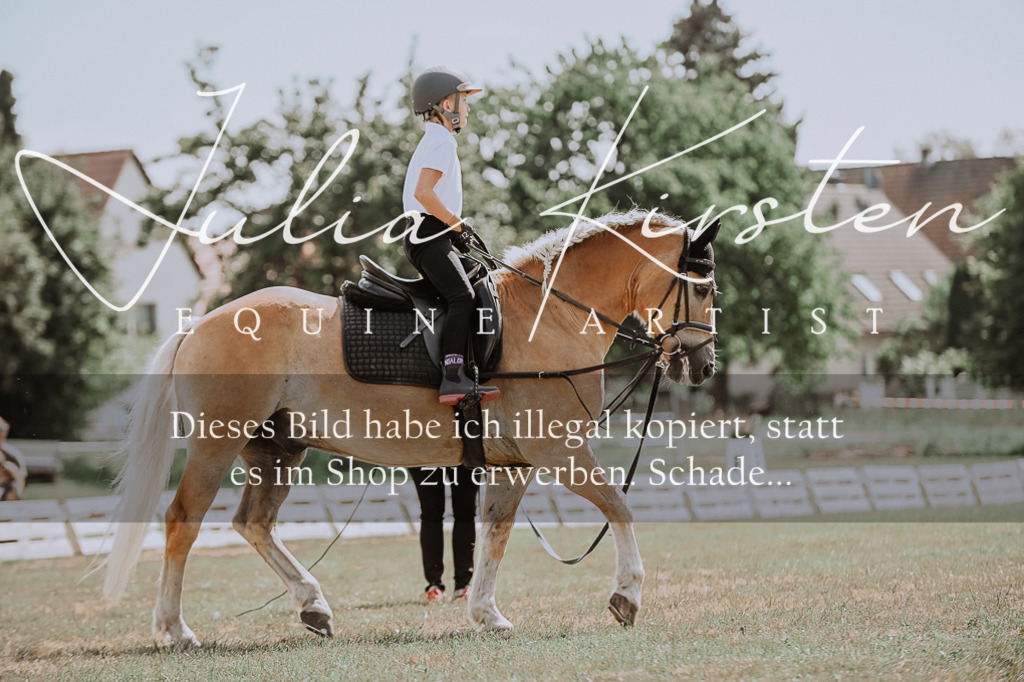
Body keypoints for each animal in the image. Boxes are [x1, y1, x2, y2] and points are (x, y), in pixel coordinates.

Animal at [102, 209, 720, 646]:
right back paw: (174, 630)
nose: (704, 365)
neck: (550, 317)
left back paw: (313, 605)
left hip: (277, 448)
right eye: (703, 288)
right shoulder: (560, 451)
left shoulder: (516, 462)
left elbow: (495, 531)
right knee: (182, 521)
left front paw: (486, 614)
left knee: (254, 523)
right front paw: (627, 596)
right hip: (217, 443)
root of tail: (201, 323)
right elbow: (619, 507)